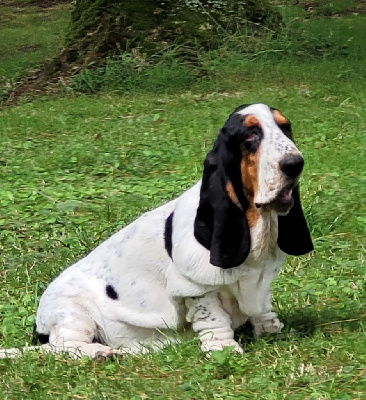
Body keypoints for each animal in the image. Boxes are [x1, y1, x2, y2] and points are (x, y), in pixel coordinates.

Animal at [0, 103, 314, 360]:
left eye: (285, 127)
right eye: (250, 136)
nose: (295, 164)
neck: (258, 220)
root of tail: (39, 328)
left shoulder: (260, 282)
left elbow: (263, 306)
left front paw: (271, 328)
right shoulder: (195, 287)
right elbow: (213, 318)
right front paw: (223, 348)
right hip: (74, 311)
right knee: (61, 346)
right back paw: (102, 352)